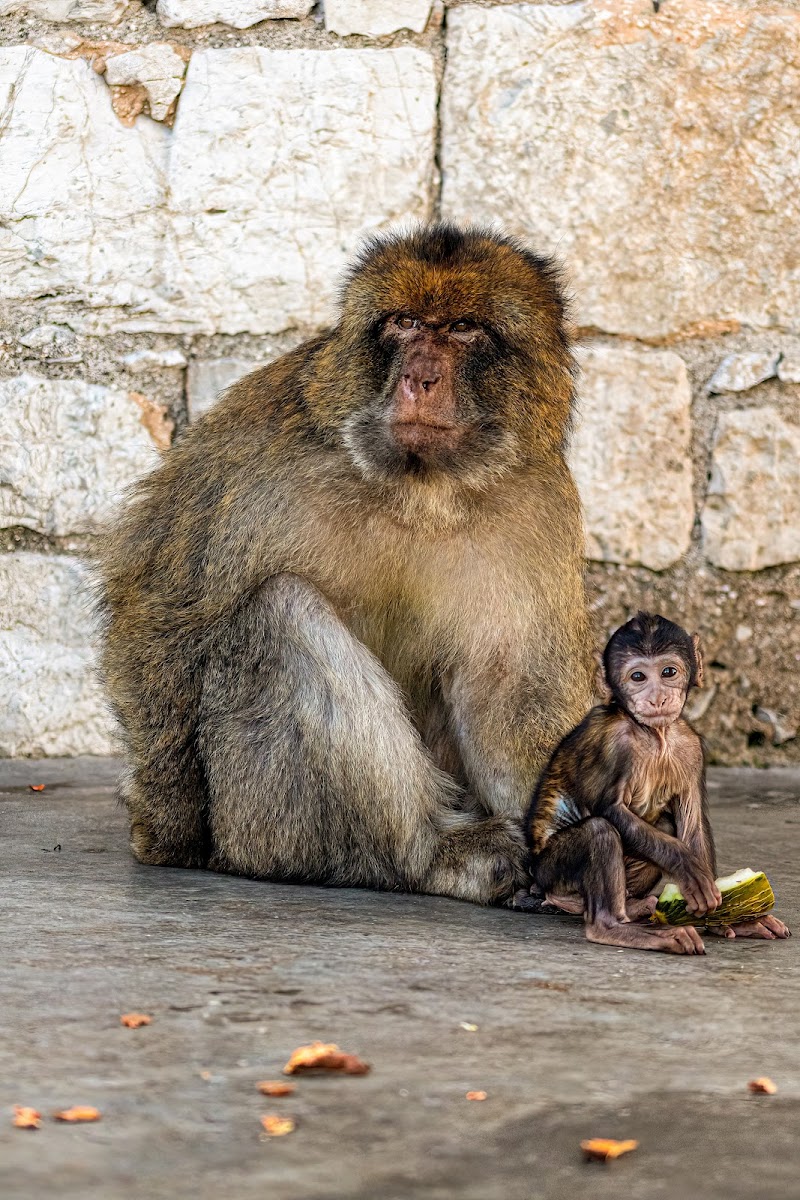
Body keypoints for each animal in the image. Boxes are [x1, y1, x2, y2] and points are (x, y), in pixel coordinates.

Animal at [97, 223, 592, 902]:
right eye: (404, 324)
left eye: (464, 328)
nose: (419, 378)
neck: (419, 488)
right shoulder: (260, 449)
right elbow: (157, 600)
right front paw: (166, 830)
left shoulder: (537, 502)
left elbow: (510, 683)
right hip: (259, 824)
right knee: (279, 611)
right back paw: (434, 854)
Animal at [522, 614, 791, 950]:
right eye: (638, 677)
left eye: (668, 672)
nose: (657, 697)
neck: (654, 735)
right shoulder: (612, 741)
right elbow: (610, 810)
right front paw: (686, 866)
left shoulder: (691, 747)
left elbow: (692, 822)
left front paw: (730, 919)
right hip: (549, 871)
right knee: (599, 832)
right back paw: (610, 925)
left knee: (662, 825)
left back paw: (633, 906)